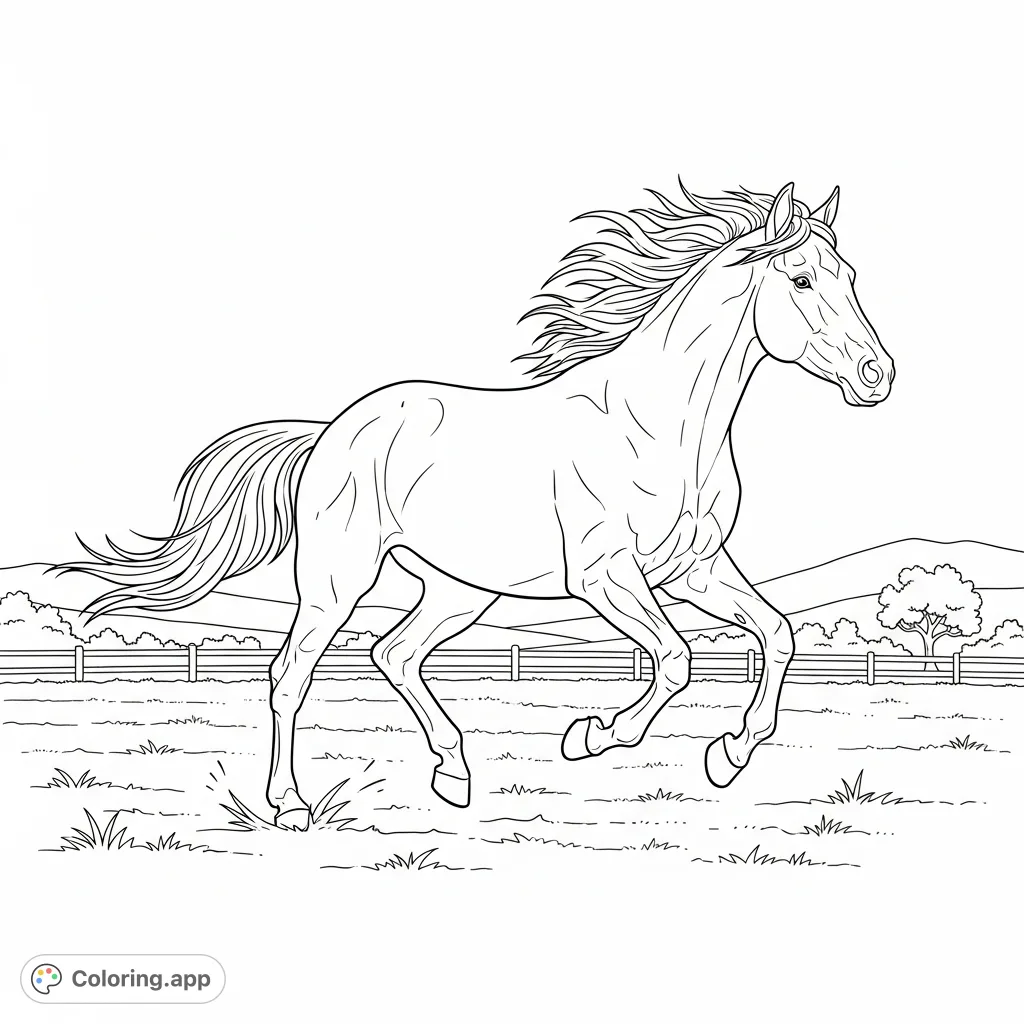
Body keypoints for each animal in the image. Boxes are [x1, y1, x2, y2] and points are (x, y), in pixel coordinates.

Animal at [60, 180, 894, 830]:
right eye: (801, 280)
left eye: (850, 274)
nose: (878, 375)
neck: (661, 425)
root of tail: (330, 431)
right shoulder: (606, 576)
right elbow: (675, 658)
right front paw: (593, 735)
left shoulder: (694, 569)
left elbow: (777, 635)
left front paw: (728, 756)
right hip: (337, 579)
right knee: (292, 673)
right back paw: (291, 806)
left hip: (460, 591)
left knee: (393, 653)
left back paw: (454, 775)